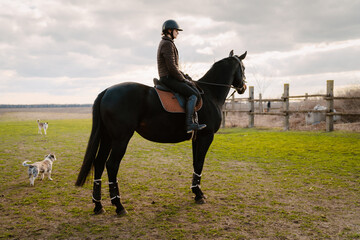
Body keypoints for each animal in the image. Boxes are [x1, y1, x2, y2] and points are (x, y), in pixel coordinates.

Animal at [74, 49, 246, 215]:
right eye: (243, 68)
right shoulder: (206, 136)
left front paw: (196, 192)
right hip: (120, 139)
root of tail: (107, 91)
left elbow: (195, 162)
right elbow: (199, 163)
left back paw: (98, 205)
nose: (243, 87)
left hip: (107, 138)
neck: (210, 93)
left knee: (99, 163)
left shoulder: (196, 138)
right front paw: (199, 194)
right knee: (111, 165)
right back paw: (119, 205)